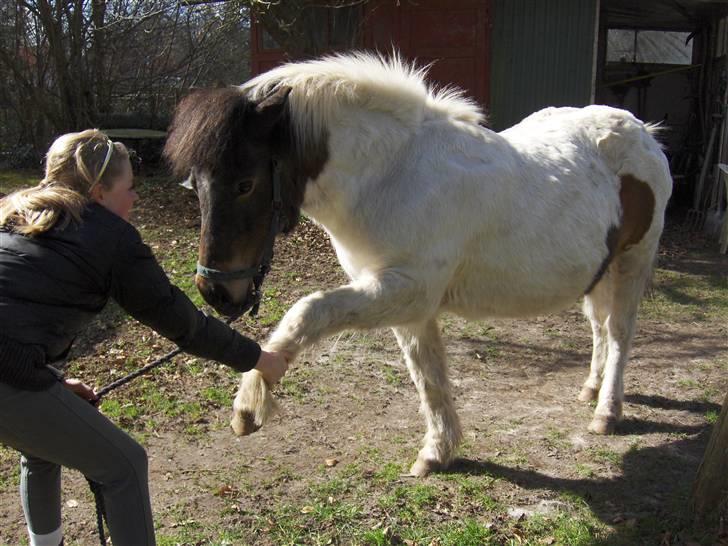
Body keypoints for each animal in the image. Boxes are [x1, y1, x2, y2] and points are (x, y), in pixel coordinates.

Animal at [164, 52, 672, 476]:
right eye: (196, 184)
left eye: (245, 184)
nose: (215, 291)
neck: (392, 174)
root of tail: (641, 130)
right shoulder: (402, 302)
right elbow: (427, 375)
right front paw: (438, 452)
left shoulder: (406, 291)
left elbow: (308, 310)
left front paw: (250, 403)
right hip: (598, 270)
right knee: (599, 327)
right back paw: (591, 388)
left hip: (634, 260)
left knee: (619, 332)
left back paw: (607, 411)